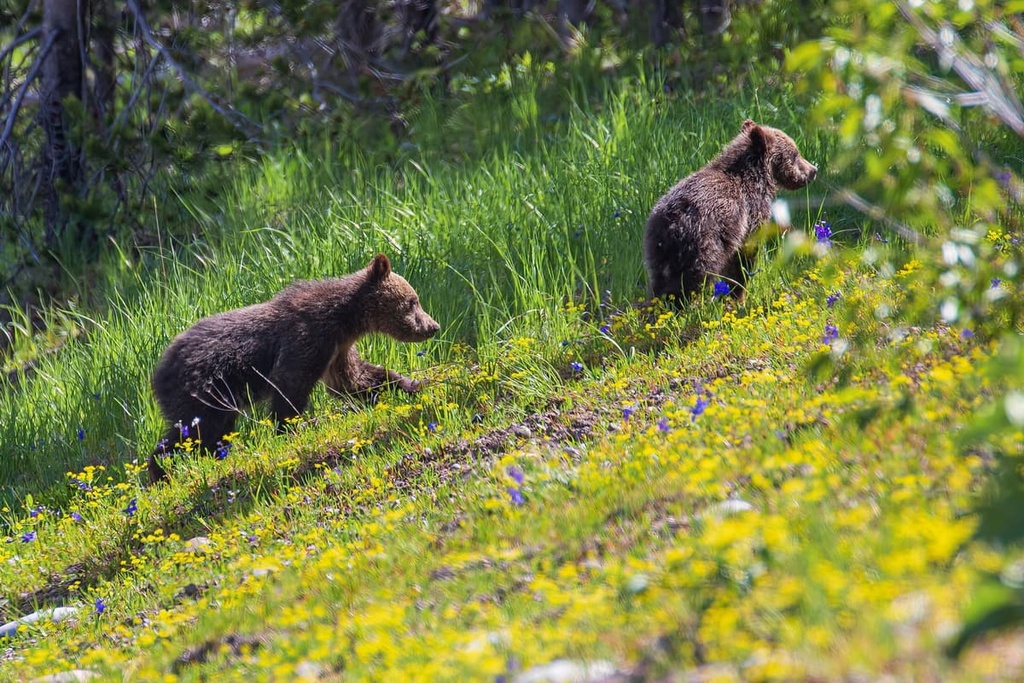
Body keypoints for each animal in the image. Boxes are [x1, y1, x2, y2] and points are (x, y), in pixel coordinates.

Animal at [147, 254, 439, 483]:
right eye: (413, 301)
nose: (433, 326)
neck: (345, 319)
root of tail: (160, 368)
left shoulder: (337, 350)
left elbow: (354, 380)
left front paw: (412, 384)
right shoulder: (308, 338)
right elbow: (291, 385)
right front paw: (287, 429)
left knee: (211, 435)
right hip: (203, 392)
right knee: (194, 433)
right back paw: (160, 470)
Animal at [643, 119, 817, 302]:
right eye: (795, 154)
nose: (813, 170)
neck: (756, 177)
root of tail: (672, 222)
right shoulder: (748, 216)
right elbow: (743, 259)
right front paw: (738, 295)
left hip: (657, 247)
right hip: (703, 242)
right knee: (694, 277)